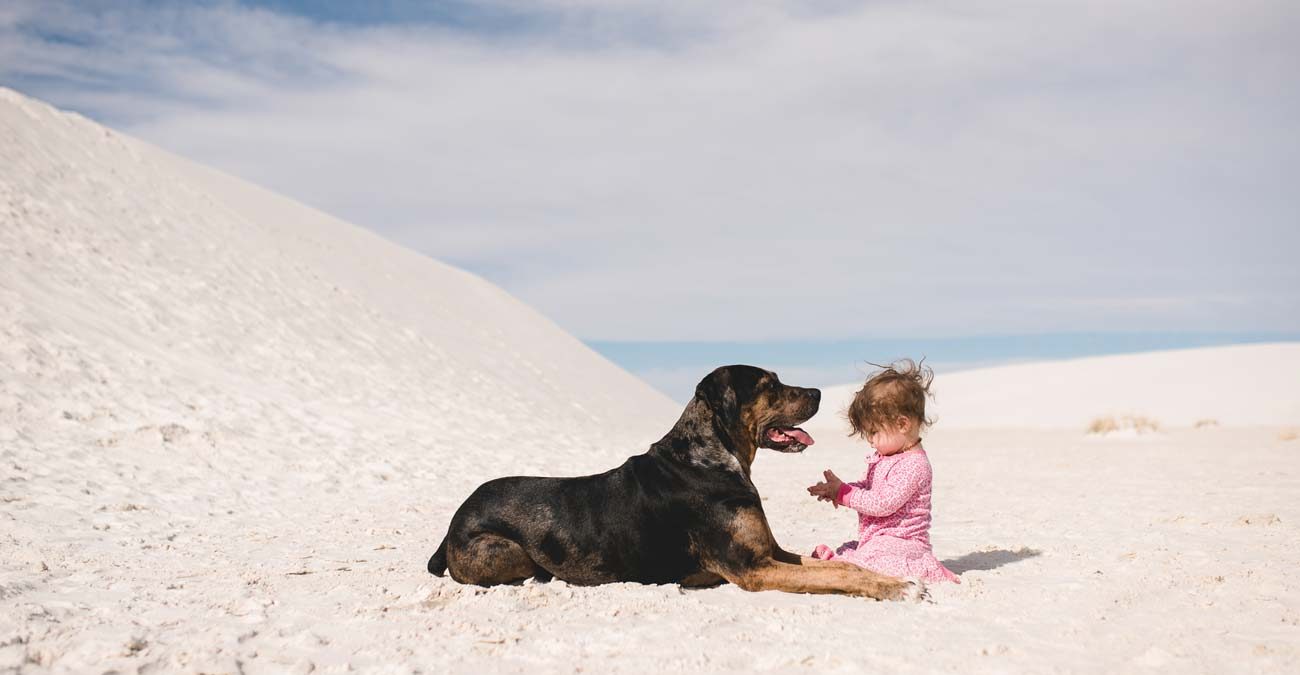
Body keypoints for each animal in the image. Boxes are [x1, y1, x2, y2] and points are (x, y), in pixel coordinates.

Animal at [426, 366, 915, 600]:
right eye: (768, 384)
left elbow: (841, 567)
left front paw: (893, 579)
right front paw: (896, 588)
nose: (817, 393)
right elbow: (831, 575)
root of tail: (452, 523)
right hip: (507, 550)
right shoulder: (753, 569)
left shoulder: (770, 553)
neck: (712, 457)